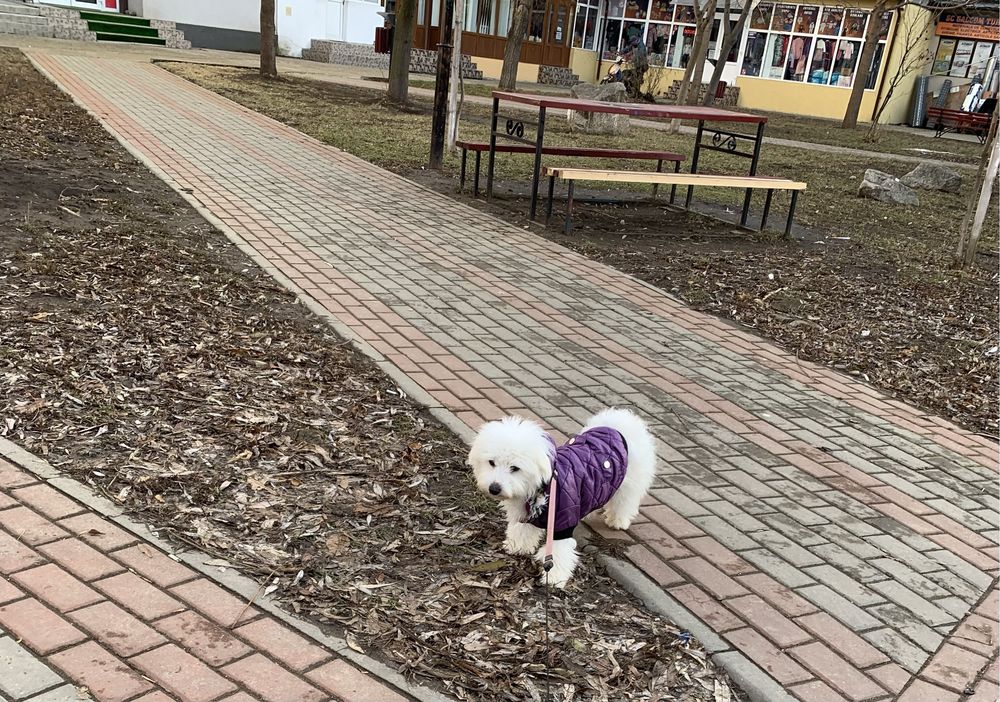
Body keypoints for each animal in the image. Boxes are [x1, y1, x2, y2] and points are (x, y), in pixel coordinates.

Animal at [468, 410, 656, 592]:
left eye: (515, 468)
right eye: (491, 462)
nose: (494, 488)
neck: (543, 485)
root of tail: (621, 421)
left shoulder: (561, 524)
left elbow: (558, 553)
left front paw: (554, 579)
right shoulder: (526, 516)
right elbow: (522, 531)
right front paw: (517, 546)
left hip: (630, 482)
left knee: (625, 501)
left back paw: (618, 521)